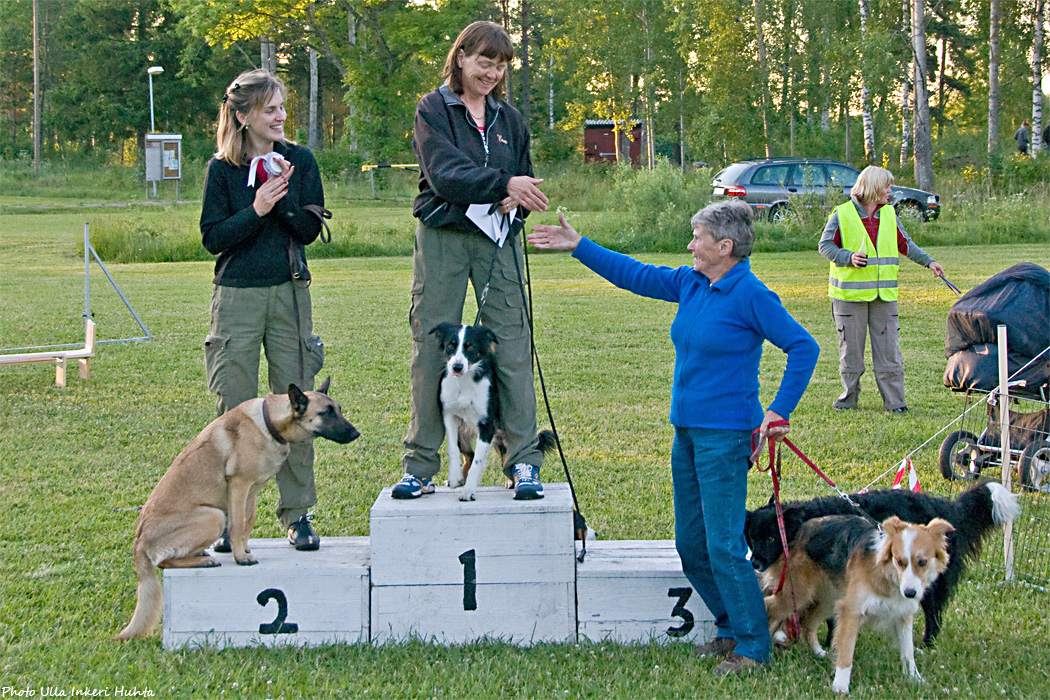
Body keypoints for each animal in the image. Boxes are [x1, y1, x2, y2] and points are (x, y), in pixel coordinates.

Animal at [116, 377, 361, 642]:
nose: (356, 433)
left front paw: (244, 548)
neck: (270, 423)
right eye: (326, 413)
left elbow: (247, 523)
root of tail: (139, 543)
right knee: (164, 563)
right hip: (214, 516)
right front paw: (240, 557)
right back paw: (204, 561)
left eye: (338, 410)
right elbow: (236, 526)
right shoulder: (239, 486)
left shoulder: (251, 491)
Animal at [760, 514, 957, 696]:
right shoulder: (851, 610)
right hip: (797, 593)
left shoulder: (903, 614)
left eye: (922, 562)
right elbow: (847, 652)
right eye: (900, 561)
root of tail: (799, 532)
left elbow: (907, 651)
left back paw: (818, 652)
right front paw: (840, 687)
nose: (910, 593)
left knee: (808, 623)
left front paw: (914, 678)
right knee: (770, 607)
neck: (887, 575)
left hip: (829, 598)